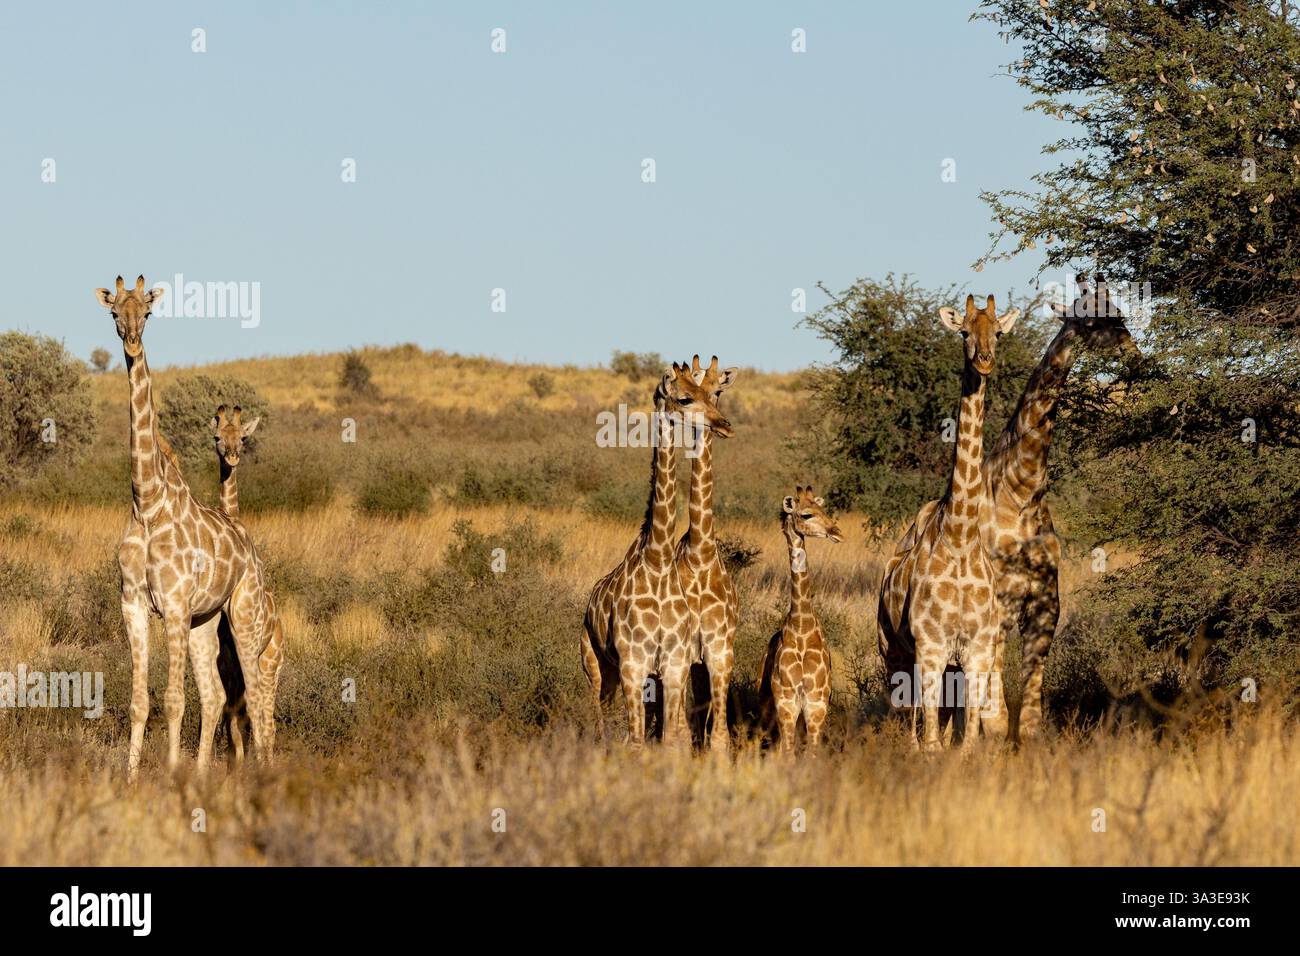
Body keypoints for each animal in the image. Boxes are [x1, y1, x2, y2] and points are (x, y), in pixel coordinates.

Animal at [95, 274, 272, 779]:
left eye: (149, 312)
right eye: (114, 312)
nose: (132, 342)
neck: (147, 502)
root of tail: (250, 547)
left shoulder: (173, 604)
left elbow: (174, 699)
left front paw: (171, 776)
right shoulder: (133, 603)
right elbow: (139, 701)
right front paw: (132, 779)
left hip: (243, 614)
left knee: (255, 695)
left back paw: (260, 772)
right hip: (205, 621)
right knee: (216, 695)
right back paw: (205, 771)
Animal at [581, 360, 734, 747]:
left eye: (715, 392)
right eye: (684, 398)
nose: (724, 424)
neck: (661, 561)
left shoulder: (690, 659)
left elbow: (682, 737)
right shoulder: (634, 663)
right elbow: (639, 741)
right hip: (595, 665)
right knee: (601, 726)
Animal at [757, 486, 842, 754]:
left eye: (823, 509)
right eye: (806, 514)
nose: (837, 532)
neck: (802, 626)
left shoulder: (817, 703)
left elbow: (812, 754)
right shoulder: (786, 701)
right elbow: (788, 752)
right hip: (766, 703)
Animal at [877, 294, 1019, 752]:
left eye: (999, 332)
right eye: (963, 332)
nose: (986, 361)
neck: (959, 537)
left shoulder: (976, 650)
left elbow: (969, 735)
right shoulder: (932, 645)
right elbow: (931, 738)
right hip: (894, 649)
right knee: (911, 714)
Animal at [982, 276, 1136, 740]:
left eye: (1118, 310)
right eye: (1090, 320)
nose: (1133, 352)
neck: (1021, 494)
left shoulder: (1046, 604)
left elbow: (1031, 716)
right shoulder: (998, 605)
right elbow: (995, 712)